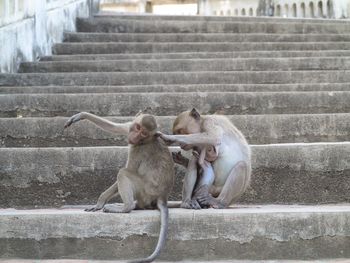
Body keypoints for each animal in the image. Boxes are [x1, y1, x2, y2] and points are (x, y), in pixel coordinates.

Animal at [64, 112, 174, 263]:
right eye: (137, 128)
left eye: (144, 133)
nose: (135, 136)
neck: (144, 141)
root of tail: (163, 196)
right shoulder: (130, 129)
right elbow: (115, 127)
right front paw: (81, 116)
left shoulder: (139, 150)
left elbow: (128, 170)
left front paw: (99, 203)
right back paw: (134, 206)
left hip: (145, 191)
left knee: (123, 173)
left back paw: (126, 207)